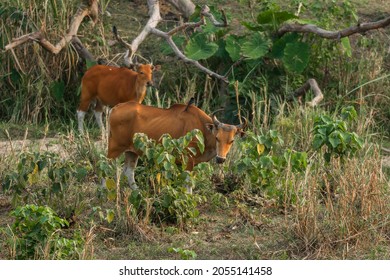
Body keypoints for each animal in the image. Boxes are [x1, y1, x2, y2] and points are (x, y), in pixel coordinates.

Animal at [106, 101, 247, 194]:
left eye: (231, 141)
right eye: (217, 138)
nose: (220, 159)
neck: (203, 130)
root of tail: (115, 108)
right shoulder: (188, 159)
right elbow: (188, 184)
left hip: (132, 151)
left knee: (128, 172)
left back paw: (138, 193)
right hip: (113, 149)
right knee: (105, 169)